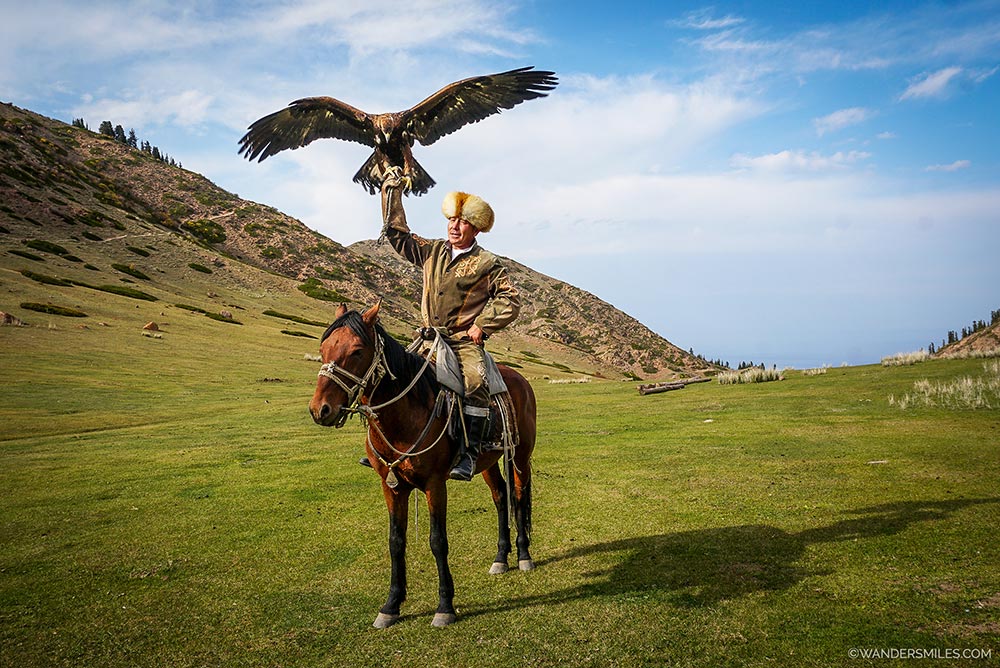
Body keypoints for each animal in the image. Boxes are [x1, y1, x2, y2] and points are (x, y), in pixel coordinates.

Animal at [306, 302, 536, 628]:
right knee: (501, 496)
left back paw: (524, 555)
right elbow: (396, 541)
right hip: (488, 461)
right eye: (323, 348)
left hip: (520, 456)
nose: (320, 409)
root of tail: (519, 379)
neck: (404, 415)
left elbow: (438, 540)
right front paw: (391, 605)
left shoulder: (435, 484)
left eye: (357, 351)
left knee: (518, 494)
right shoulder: (391, 486)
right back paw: (501, 558)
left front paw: (445, 606)